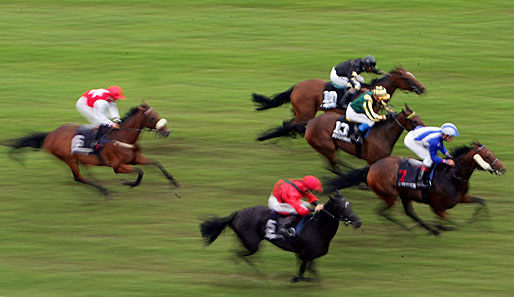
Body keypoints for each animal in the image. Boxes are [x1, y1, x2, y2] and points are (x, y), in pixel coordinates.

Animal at [6, 103, 180, 195]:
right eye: (152, 117)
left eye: (157, 114)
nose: (167, 131)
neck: (122, 137)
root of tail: (50, 135)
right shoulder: (118, 166)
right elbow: (140, 172)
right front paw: (128, 183)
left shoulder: (135, 158)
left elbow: (156, 163)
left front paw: (174, 182)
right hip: (69, 158)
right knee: (79, 177)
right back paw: (104, 190)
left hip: (79, 158)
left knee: (85, 172)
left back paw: (101, 187)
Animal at [198, 190, 358, 282]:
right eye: (343, 206)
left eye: (350, 205)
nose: (358, 221)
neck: (316, 226)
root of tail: (236, 213)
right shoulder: (304, 254)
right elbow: (301, 272)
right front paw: (297, 279)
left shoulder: (310, 254)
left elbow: (311, 270)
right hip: (251, 243)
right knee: (238, 254)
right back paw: (255, 275)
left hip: (247, 241)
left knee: (239, 253)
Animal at [252, 67, 424, 141]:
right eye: (407, 78)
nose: (422, 88)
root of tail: (296, 86)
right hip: (305, 113)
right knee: (289, 124)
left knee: (290, 123)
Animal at [324, 142, 504, 236]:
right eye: (487, 156)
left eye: (492, 153)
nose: (503, 168)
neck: (453, 175)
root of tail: (372, 167)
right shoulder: (437, 207)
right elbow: (449, 220)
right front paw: (445, 227)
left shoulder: (461, 198)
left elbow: (482, 202)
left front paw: (487, 225)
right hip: (391, 195)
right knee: (382, 211)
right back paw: (408, 229)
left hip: (404, 195)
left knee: (409, 212)